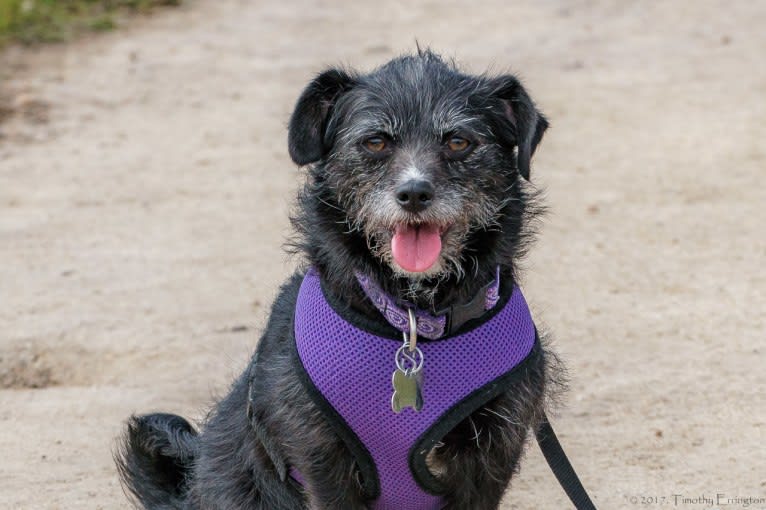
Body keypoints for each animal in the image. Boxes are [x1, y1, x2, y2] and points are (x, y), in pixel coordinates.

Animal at [117, 50, 568, 510]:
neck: (412, 319)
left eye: (459, 141)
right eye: (376, 142)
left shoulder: (491, 455)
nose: (414, 194)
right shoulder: (321, 458)